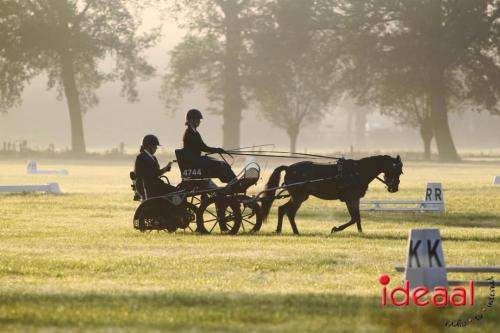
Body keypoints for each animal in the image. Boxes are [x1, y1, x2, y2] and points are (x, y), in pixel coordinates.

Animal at [260, 155, 404, 233]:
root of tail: (289, 168)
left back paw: (280, 230)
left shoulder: (356, 199)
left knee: (282, 209)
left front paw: (360, 232)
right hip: (299, 197)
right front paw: (336, 228)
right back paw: (295, 231)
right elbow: (353, 218)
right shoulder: (350, 199)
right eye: (396, 169)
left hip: (299, 196)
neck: (357, 171)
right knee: (289, 212)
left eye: (400, 171)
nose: (394, 188)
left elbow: (358, 217)